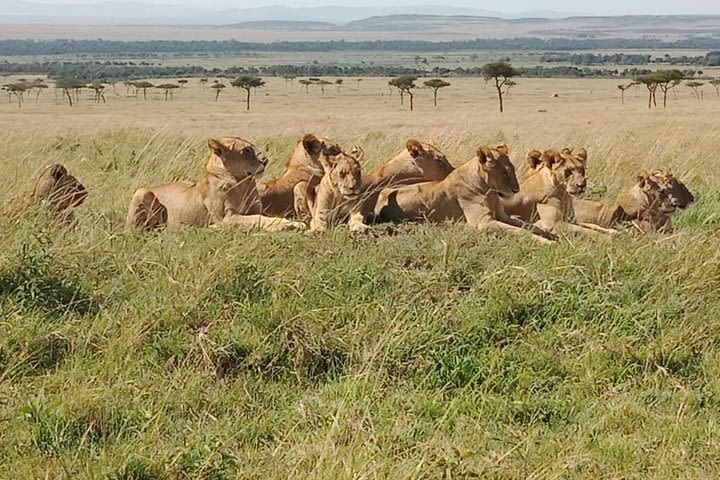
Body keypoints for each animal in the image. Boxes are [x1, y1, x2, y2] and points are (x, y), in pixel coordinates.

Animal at [127, 137, 306, 232]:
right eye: (246, 151)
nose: (265, 160)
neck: (243, 184)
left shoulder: (255, 209)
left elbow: (265, 216)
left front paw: (292, 223)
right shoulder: (225, 218)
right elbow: (257, 219)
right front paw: (288, 225)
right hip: (141, 192)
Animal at [376, 144, 556, 244]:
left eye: (512, 169)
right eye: (505, 173)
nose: (516, 190)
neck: (490, 192)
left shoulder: (501, 216)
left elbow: (528, 225)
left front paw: (550, 235)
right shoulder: (482, 222)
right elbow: (522, 231)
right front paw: (547, 242)